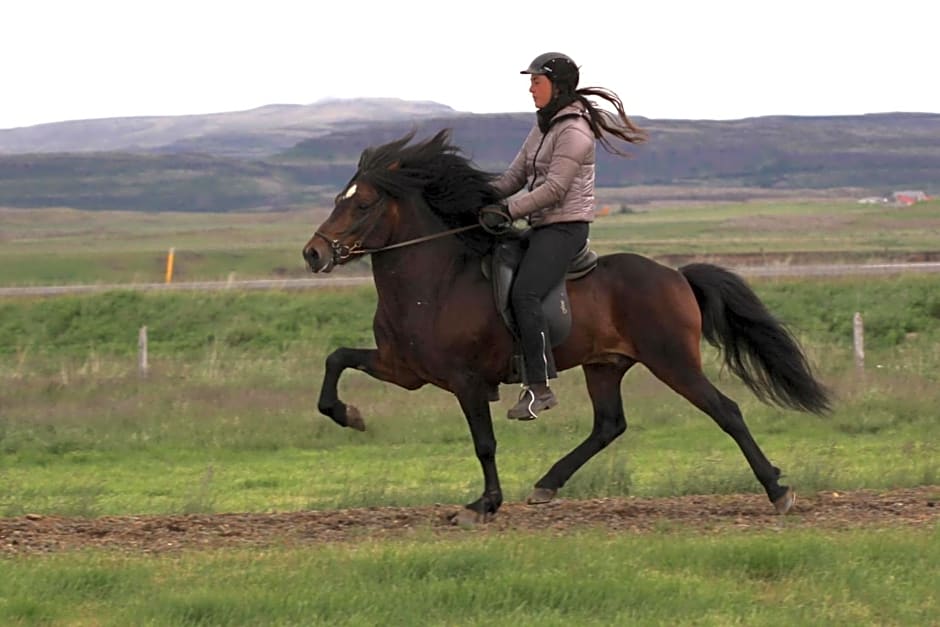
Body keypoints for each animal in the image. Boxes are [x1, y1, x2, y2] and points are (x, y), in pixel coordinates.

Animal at [302, 127, 828, 524]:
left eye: (364, 205)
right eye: (339, 198)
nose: (313, 253)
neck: (436, 281)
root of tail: (675, 275)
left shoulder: (465, 381)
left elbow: (484, 443)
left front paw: (483, 505)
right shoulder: (404, 369)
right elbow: (334, 361)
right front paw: (350, 415)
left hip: (672, 361)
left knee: (726, 411)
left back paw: (777, 490)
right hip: (606, 365)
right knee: (609, 425)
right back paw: (546, 484)